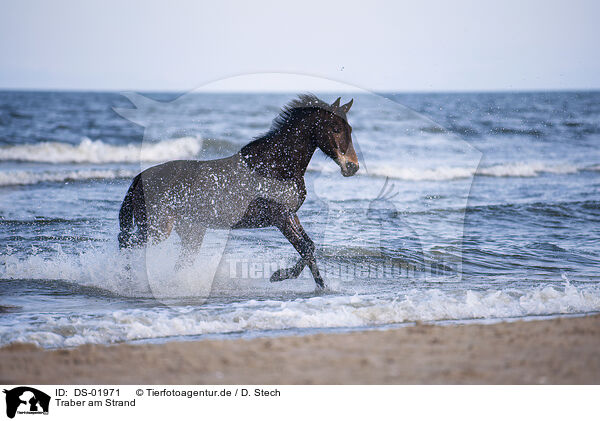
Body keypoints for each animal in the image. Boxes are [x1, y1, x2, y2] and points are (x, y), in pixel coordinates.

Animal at [119, 93, 358, 288]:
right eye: (335, 129)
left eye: (350, 129)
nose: (352, 167)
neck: (276, 167)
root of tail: (138, 179)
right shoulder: (279, 217)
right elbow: (305, 248)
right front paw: (279, 276)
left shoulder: (291, 215)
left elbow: (309, 247)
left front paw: (321, 287)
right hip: (157, 229)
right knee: (126, 242)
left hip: (190, 233)